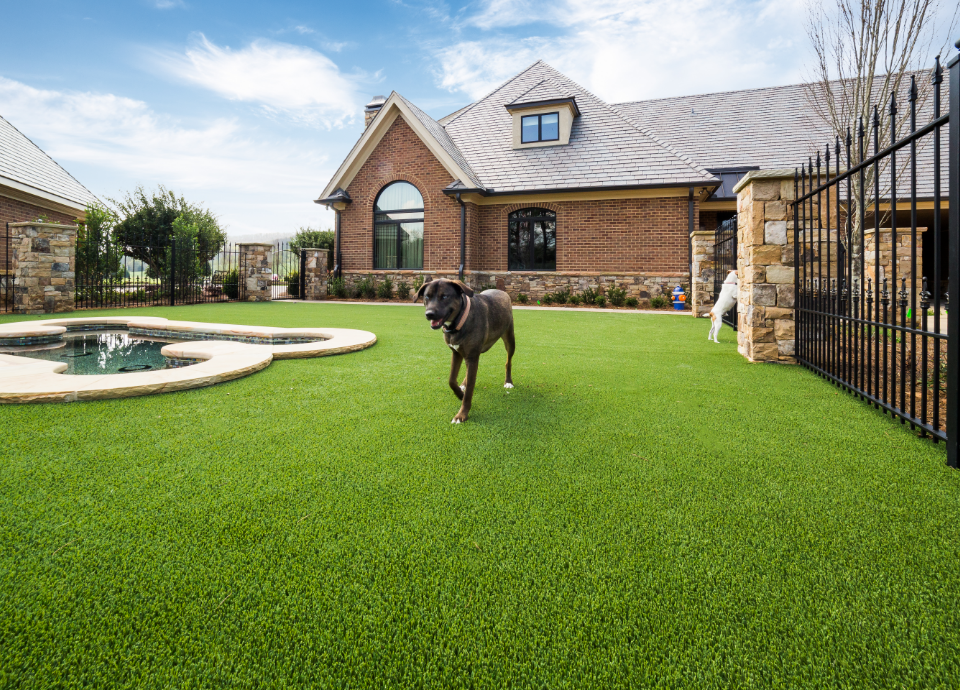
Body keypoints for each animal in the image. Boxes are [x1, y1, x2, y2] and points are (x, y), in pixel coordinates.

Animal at [414, 278, 516, 420]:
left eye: (444, 296)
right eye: (427, 297)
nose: (429, 314)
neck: (460, 321)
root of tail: (500, 290)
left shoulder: (472, 357)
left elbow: (469, 392)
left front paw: (462, 414)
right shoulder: (456, 353)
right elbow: (451, 380)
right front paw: (460, 394)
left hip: (510, 339)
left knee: (508, 361)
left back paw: (508, 382)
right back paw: (463, 383)